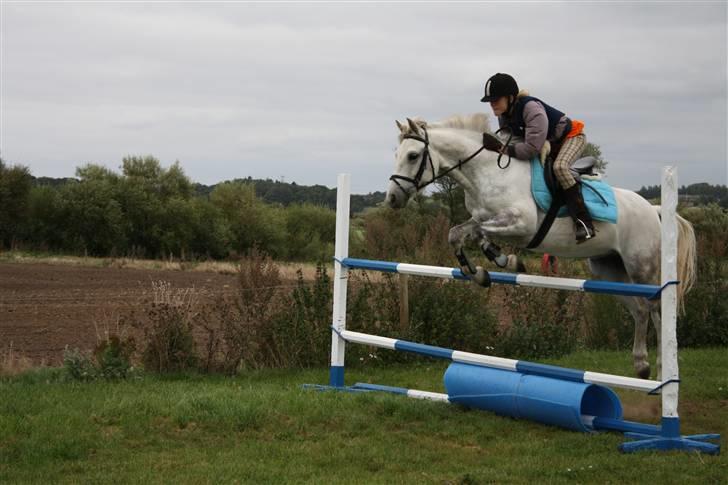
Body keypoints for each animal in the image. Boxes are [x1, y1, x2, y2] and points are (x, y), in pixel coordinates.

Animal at [384, 113, 696, 378]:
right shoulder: (484, 218)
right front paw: (487, 270)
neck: (485, 172)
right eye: (396, 155)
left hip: (642, 267)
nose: (392, 199)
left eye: (413, 155)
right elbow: (459, 233)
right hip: (609, 269)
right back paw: (641, 365)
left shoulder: (521, 225)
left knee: (656, 309)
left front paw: (501, 262)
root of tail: (653, 209)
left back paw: (660, 369)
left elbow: (478, 233)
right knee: (640, 310)